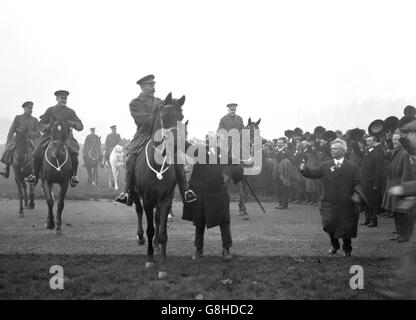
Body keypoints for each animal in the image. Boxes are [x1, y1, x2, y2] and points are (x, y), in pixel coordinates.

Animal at [133, 92, 185, 278]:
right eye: (165, 116)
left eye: (181, 117)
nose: (176, 145)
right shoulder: (148, 200)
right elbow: (150, 228)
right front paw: (150, 259)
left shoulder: (165, 199)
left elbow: (162, 231)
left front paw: (163, 263)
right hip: (136, 195)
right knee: (139, 212)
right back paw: (140, 237)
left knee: (155, 219)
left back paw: (155, 244)